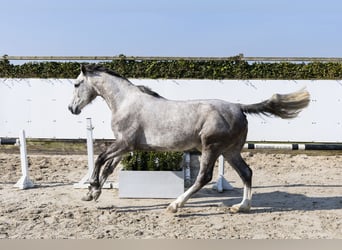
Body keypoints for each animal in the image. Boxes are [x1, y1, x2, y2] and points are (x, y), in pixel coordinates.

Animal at [69, 65, 310, 213]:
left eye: (76, 84)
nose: (72, 109)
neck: (126, 102)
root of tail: (238, 107)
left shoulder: (124, 143)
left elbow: (100, 159)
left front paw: (92, 186)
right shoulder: (127, 147)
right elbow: (108, 166)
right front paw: (92, 193)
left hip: (211, 148)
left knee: (204, 177)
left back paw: (175, 206)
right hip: (230, 151)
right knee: (246, 172)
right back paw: (241, 207)